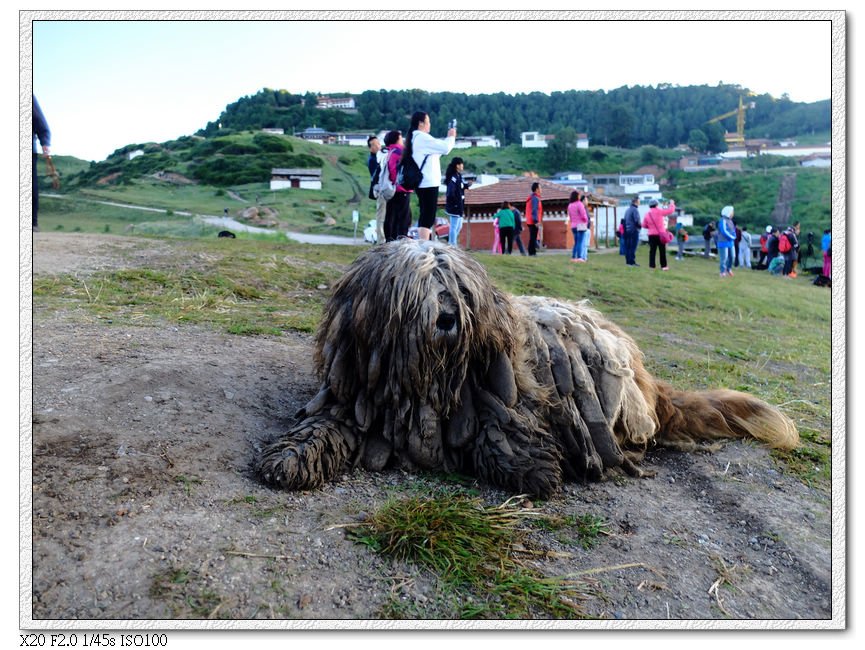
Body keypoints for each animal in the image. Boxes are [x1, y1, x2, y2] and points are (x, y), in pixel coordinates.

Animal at [256, 238, 796, 496]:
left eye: (458, 288)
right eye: (419, 289)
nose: (447, 318)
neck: (427, 382)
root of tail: (645, 376)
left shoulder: (500, 402)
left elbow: (501, 434)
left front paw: (533, 469)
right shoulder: (354, 395)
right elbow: (320, 428)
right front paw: (289, 459)